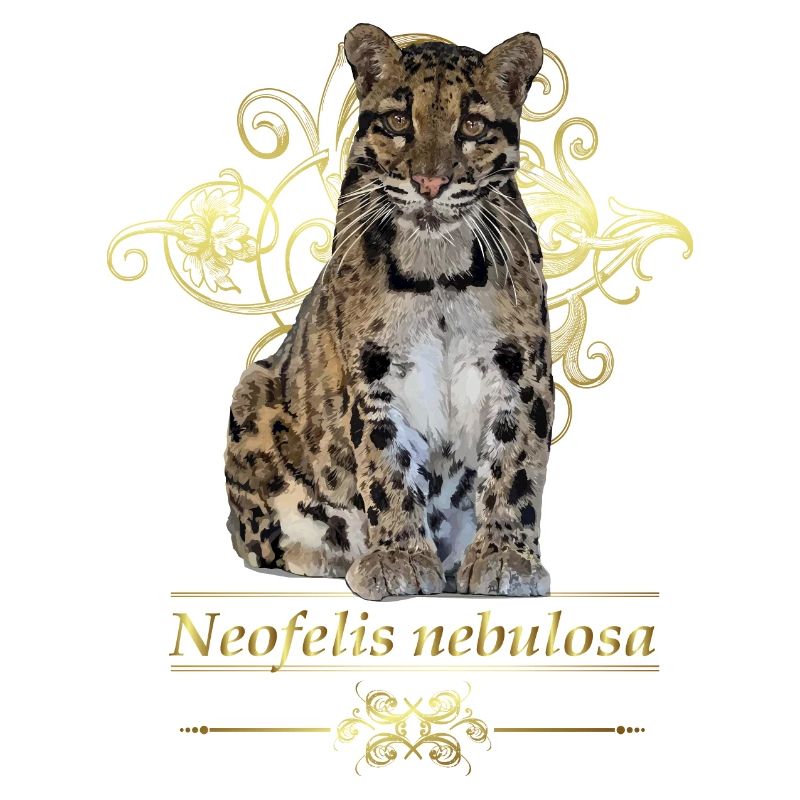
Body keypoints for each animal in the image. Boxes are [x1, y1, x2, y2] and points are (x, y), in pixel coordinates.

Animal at [224, 23, 554, 600]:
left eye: (472, 125)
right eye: (400, 120)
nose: (430, 184)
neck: (439, 270)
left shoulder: (521, 368)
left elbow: (515, 464)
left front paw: (505, 557)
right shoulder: (373, 371)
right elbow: (386, 465)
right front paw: (398, 556)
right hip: (251, 392)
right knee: (259, 538)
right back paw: (330, 553)